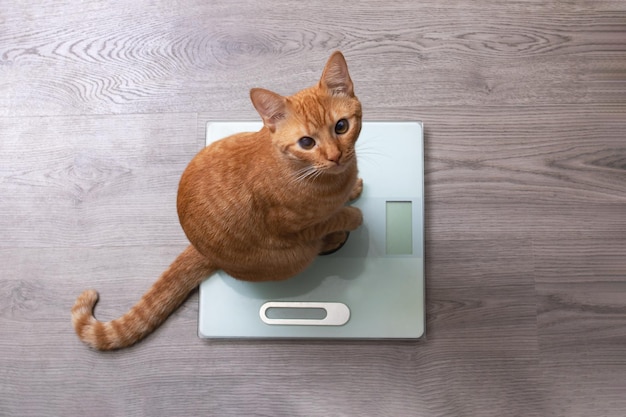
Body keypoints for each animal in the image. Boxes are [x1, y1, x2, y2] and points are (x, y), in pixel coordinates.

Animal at [72, 52, 366, 352]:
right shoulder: (294, 228)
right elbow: (333, 219)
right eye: (307, 142)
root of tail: (199, 249)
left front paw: (353, 189)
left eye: (341, 126)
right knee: (314, 248)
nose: (335, 156)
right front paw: (351, 216)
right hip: (294, 258)